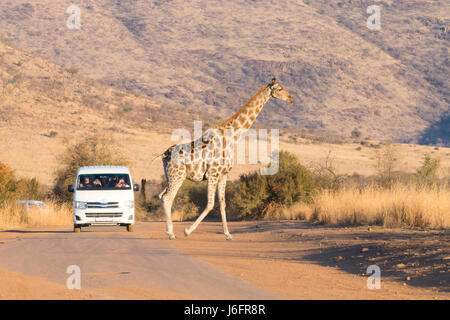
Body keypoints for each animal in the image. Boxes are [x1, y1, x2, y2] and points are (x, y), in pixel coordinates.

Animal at [156, 78, 294, 240]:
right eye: (279, 89)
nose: (291, 99)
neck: (231, 138)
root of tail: (165, 155)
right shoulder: (213, 174)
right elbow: (210, 204)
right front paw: (187, 231)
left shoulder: (223, 174)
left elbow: (222, 203)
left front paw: (228, 234)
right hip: (177, 176)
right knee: (167, 198)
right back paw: (171, 233)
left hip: (170, 176)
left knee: (162, 196)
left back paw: (170, 231)